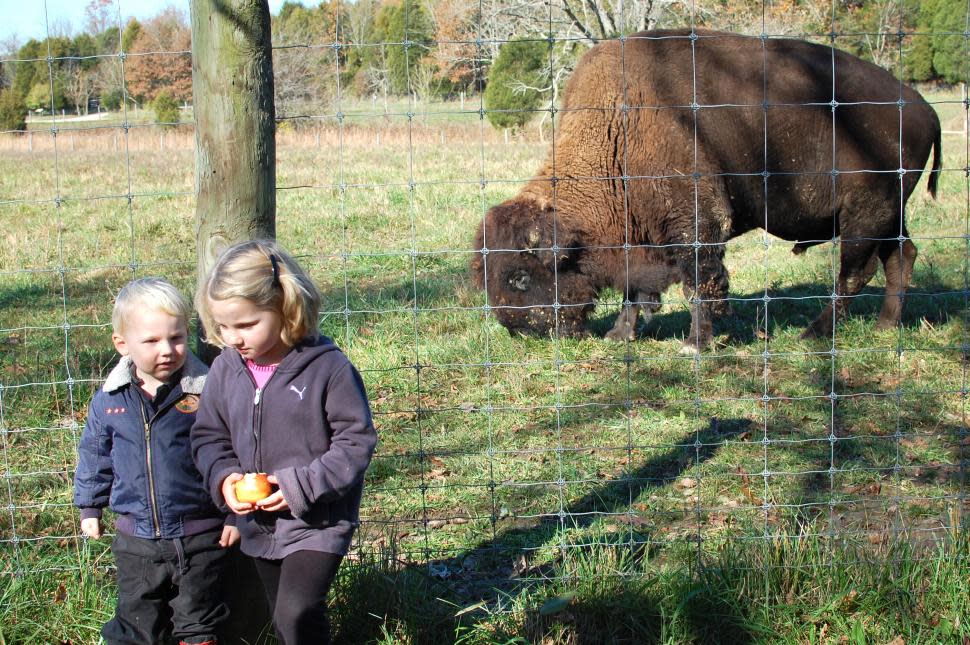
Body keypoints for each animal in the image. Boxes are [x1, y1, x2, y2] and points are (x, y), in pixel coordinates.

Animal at [468, 29, 936, 350]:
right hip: (888, 215)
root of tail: (921, 107)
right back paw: (886, 325)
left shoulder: (697, 224)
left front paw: (695, 343)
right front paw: (620, 335)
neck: (619, 129)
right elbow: (636, 290)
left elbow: (700, 284)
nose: (518, 329)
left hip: (865, 216)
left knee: (855, 273)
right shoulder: (645, 234)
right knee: (901, 256)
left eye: (520, 276)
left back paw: (813, 333)